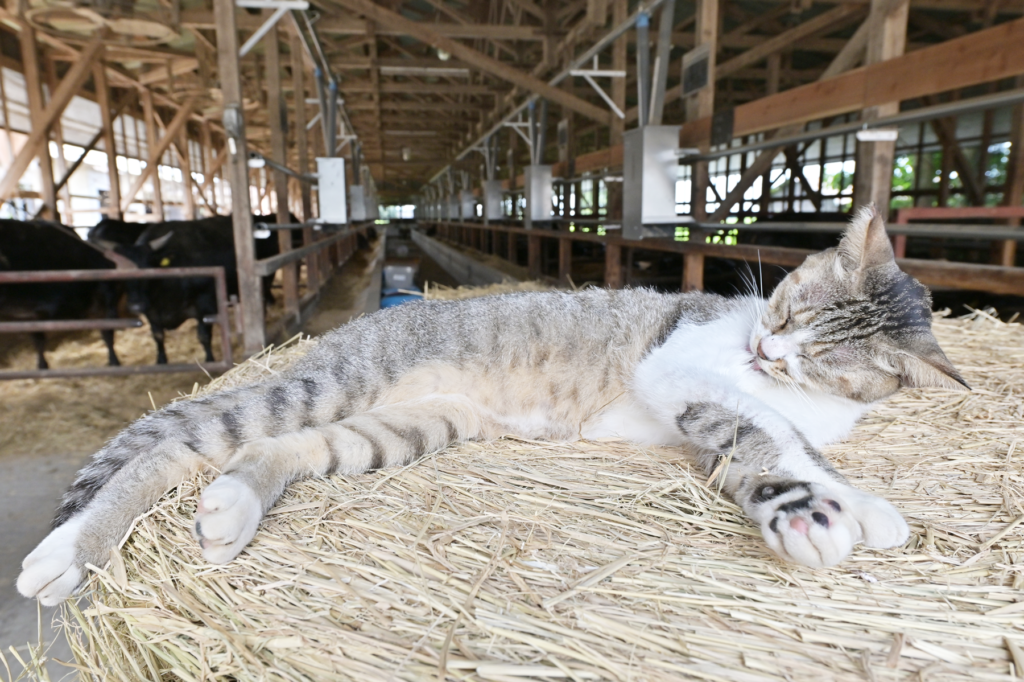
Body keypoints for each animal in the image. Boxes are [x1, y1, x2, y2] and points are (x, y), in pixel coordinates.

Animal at [18, 204, 966, 602]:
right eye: (790, 305)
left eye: (827, 358)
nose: (765, 350)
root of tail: (360, 325)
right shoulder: (680, 375)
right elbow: (759, 435)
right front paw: (804, 509)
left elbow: (794, 442)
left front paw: (860, 503)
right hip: (324, 386)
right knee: (169, 447)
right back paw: (68, 553)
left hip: (404, 425)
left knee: (269, 453)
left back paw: (233, 510)